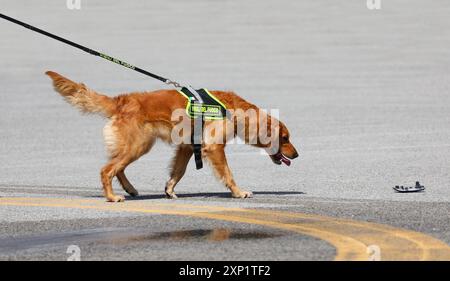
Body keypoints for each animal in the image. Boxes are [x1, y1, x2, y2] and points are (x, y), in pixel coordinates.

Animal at [45, 70, 298, 201]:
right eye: (285, 138)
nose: (296, 155)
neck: (233, 109)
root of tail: (122, 101)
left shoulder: (187, 147)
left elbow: (178, 171)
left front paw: (169, 189)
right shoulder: (214, 148)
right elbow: (228, 174)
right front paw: (238, 192)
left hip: (135, 147)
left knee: (117, 168)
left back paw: (129, 189)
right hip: (138, 146)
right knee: (107, 170)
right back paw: (112, 197)